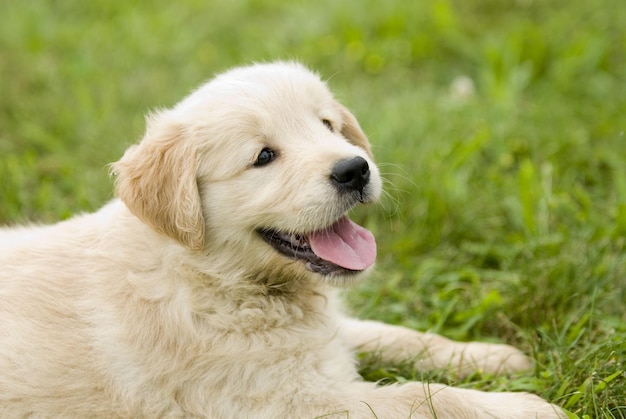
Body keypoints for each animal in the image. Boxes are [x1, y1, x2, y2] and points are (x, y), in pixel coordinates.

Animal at [0, 60, 564, 418]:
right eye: (264, 157)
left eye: (327, 125)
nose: (355, 169)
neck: (212, 278)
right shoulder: (292, 400)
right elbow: (426, 399)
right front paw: (525, 406)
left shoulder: (323, 336)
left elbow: (393, 334)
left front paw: (490, 357)